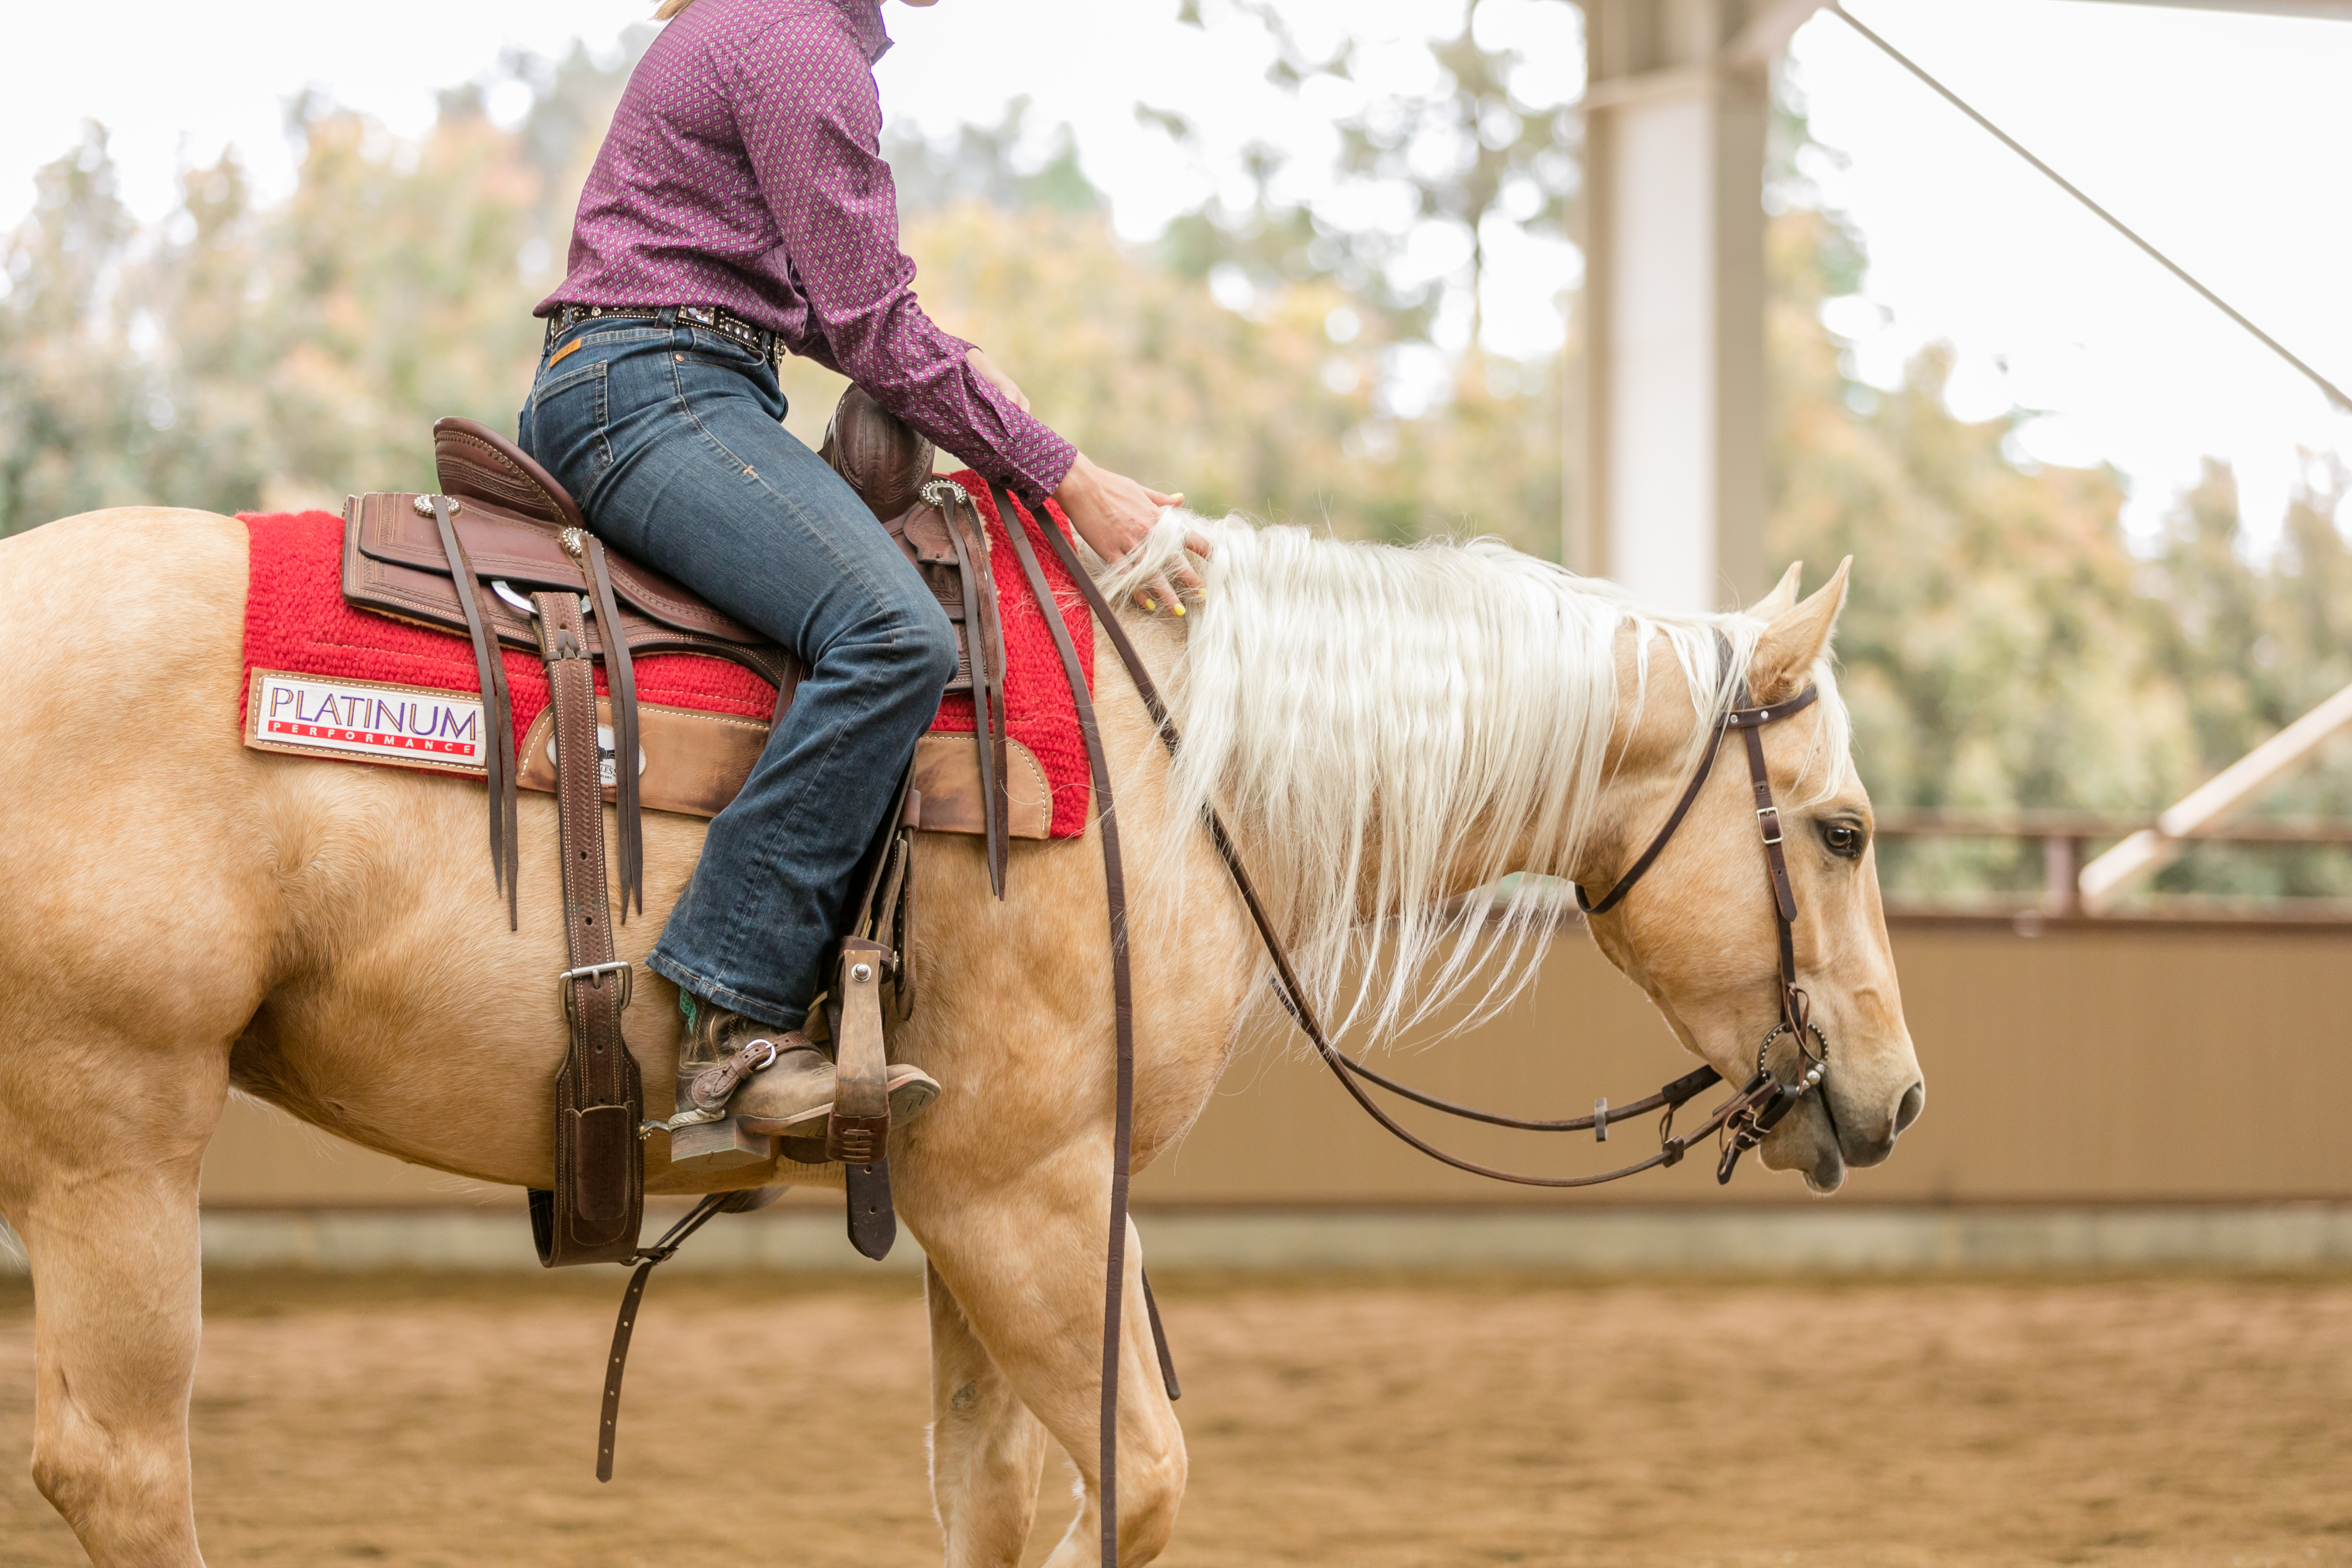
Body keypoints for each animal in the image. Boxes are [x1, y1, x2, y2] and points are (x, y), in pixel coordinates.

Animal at [0, 502, 1923, 1566]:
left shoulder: (985, 1208)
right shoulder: (1027, 1200)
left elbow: (994, 1503)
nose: (1897, 1100)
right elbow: (1132, 1484)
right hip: (117, 1129)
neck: (1183, 768)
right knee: (118, 1465)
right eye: (1842, 830)